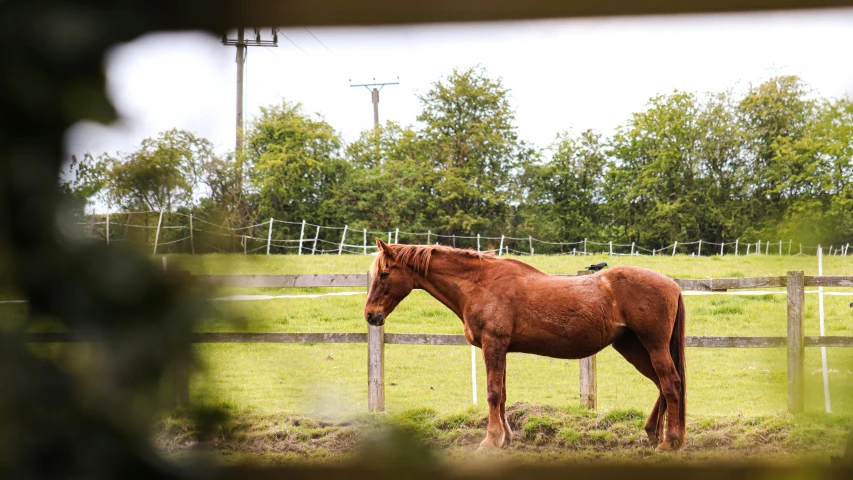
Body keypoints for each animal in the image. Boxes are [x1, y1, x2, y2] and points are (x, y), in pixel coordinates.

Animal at [362, 242, 684, 452]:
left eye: (384, 274)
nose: (370, 315)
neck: (480, 284)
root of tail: (673, 285)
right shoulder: (499, 349)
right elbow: (502, 395)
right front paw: (505, 438)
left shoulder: (493, 345)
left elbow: (493, 394)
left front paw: (490, 440)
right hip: (632, 347)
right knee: (662, 384)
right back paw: (655, 434)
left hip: (652, 346)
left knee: (671, 383)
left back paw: (671, 442)